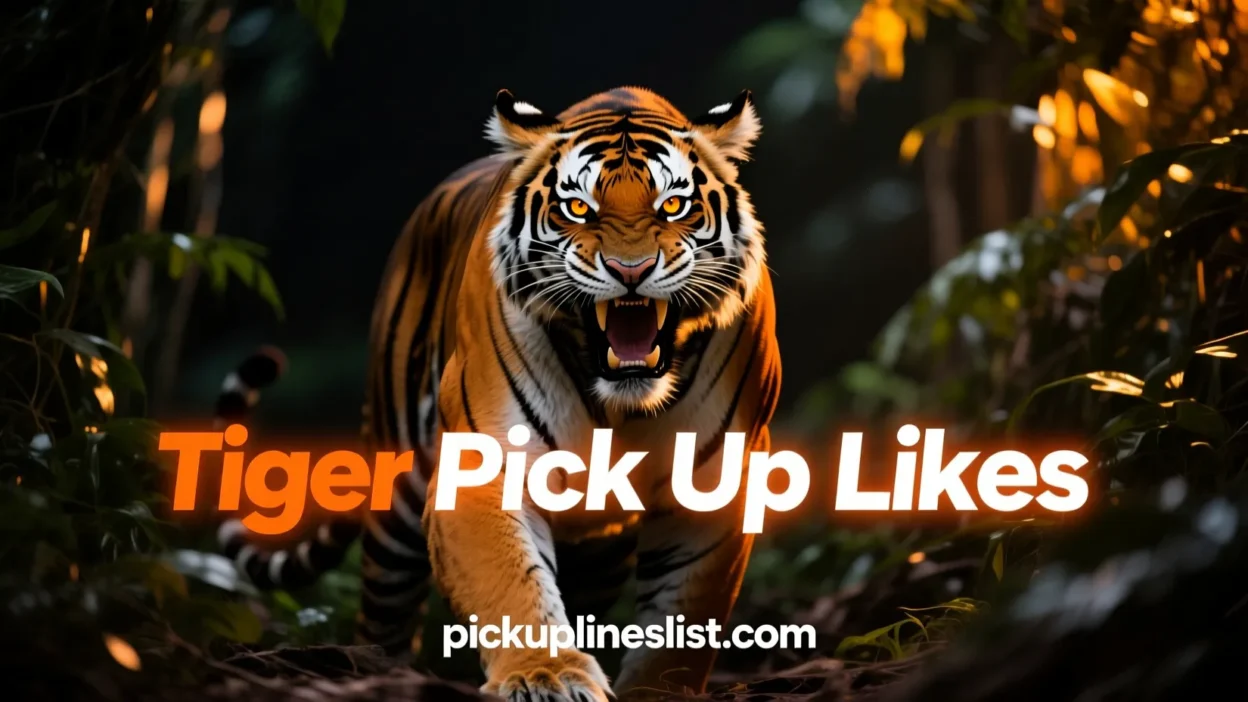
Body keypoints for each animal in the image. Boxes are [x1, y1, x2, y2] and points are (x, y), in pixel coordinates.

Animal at [219, 86, 781, 701]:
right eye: (577, 208)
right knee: (384, 620)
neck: (621, 403)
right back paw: (374, 672)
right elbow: (514, 586)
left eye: (673, 206)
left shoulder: (713, 488)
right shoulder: (483, 466)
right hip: (397, 506)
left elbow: (681, 623)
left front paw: (654, 692)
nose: (629, 270)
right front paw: (547, 676)